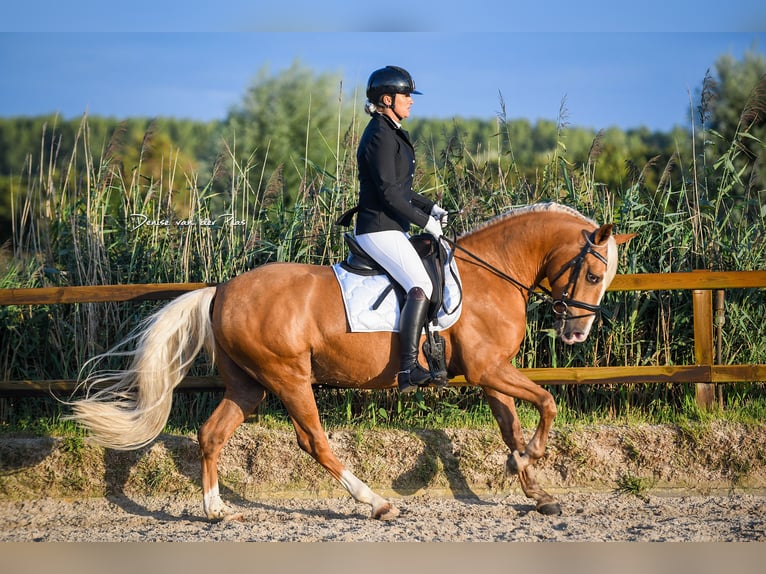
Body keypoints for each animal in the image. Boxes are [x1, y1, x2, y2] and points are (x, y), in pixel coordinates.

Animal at [66, 205, 632, 524]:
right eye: (593, 273)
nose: (576, 333)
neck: (491, 275)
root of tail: (221, 290)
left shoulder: (491, 371)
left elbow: (512, 424)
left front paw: (535, 488)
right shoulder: (489, 370)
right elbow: (548, 402)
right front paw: (530, 459)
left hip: (248, 385)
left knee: (212, 433)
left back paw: (216, 510)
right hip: (288, 377)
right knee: (313, 440)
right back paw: (376, 502)